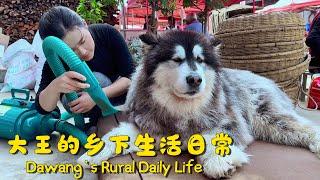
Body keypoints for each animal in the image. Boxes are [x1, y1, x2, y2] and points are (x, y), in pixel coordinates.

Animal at [79, 31, 320, 179]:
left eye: (200, 60)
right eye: (176, 60)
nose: (195, 79)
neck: (181, 108)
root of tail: (263, 79)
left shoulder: (228, 122)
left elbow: (212, 138)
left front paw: (217, 160)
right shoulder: (148, 126)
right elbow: (116, 136)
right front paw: (93, 154)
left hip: (269, 118)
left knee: (305, 127)